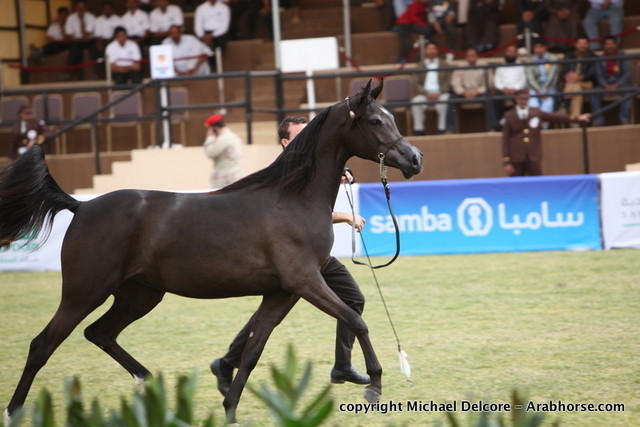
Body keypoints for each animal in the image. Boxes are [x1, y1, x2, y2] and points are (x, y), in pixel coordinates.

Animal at [0, 80, 423, 424]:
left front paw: (230, 410)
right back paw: (15, 411)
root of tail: (82, 206)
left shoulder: (282, 292)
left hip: (140, 295)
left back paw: (152, 387)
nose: (415, 159)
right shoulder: (305, 282)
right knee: (42, 345)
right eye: (375, 121)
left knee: (99, 333)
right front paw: (374, 385)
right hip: (83, 292)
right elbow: (356, 320)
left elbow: (252, 350)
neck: (291, 198)